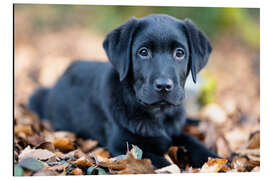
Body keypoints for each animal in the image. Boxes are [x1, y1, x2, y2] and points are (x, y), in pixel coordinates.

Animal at [28, 14, 217, 169]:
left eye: (180, 53)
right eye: (143, 52)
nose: (164, 86)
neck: (157, 114)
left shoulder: (175, 131)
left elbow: (194, 142)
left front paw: (217, 158)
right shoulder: (122, 145)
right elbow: (163, 163)